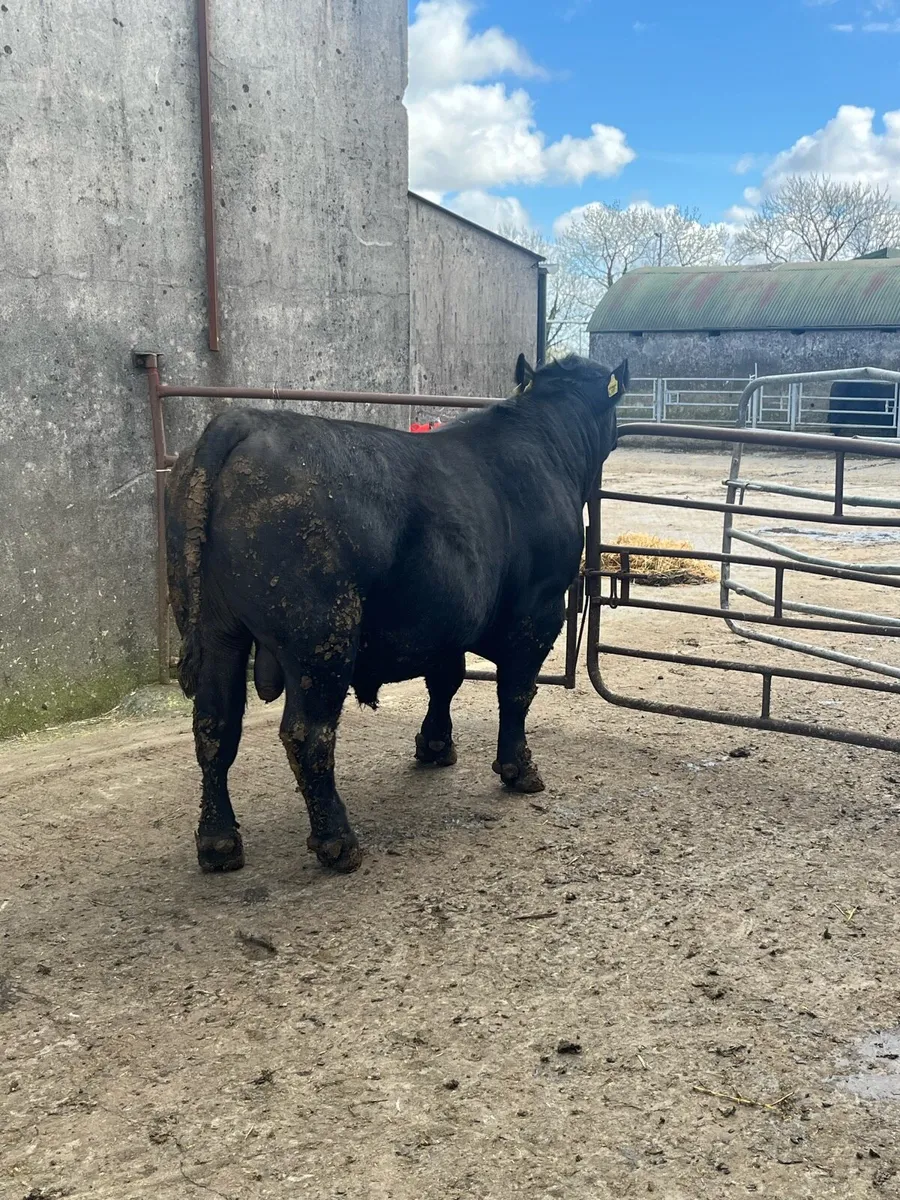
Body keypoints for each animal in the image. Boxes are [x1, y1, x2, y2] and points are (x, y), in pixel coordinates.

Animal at [165, 353, 627, 875]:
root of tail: (240, 419)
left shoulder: (446, 620)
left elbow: (446, 679)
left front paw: (435, 746)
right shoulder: (539, 611)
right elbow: (516, 693)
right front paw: (519, 769)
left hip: (215, 630)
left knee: (214, 726)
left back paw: (218, 843)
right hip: (320, 634)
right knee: (308, 735)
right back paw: (338, 842)